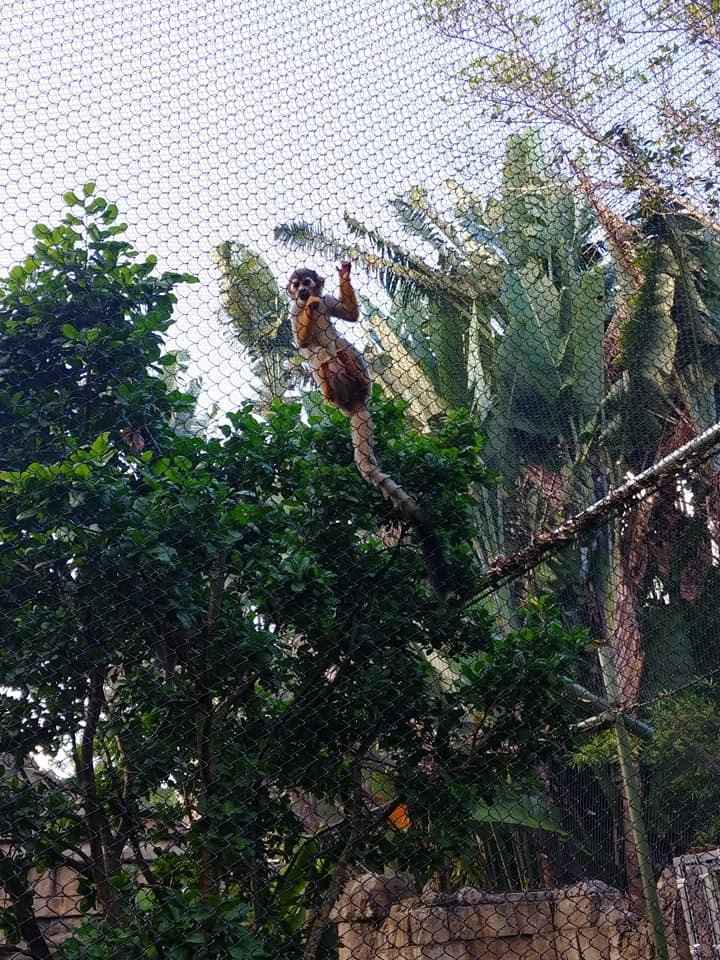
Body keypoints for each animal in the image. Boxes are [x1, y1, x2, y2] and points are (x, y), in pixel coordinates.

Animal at [287, 262, 449, 596]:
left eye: (306, 281)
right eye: (295, 286)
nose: (304, 292)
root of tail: (353, 406)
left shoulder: (328, 301)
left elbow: (348, 315)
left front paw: (342, 278)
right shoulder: (292, 313)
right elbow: (303, 342)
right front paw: (309, 309)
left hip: (362, 383)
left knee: (342, 347)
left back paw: (349, 366)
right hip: (333, 393)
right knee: (320, 358)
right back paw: (329, 384)